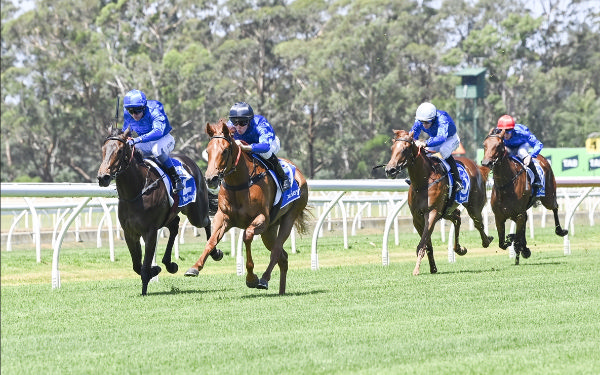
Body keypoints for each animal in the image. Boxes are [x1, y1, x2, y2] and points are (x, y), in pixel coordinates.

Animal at [98, 128, 223, 296]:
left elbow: (145, 265)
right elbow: (136, 265)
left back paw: (215, 253)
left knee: (207, 222)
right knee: (175, 225)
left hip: (196, 213)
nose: (102, 177)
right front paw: (155, 269)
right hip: (170, 215)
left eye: (119, 151)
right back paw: (169, 264)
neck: (136, 192)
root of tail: (191, 163)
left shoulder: (150, 231)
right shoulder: (130, 232)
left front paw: (147, 283)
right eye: (103, 149)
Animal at [185, 119, 312, 296]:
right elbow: (211, 241)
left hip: (289, 217)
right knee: (283, 257)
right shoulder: (223, 217)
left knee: (277, 251)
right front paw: (195, 267)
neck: (239, 184)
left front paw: (251, 278)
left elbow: (247, 236)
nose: (211, 179)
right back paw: (281, 291)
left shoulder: (261, 219)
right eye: (208, 151)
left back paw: (264, 279)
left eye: (225, 150)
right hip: (270, 230)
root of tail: (298, 171)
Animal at [386, 130, 494, 276]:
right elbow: (427, 244)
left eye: (405, 149)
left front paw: (416, 269)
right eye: (392, 148)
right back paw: (459, 249)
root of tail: (477, 168)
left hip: (474, 206)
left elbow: (422, 244)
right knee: (457, 217)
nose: (390, 170)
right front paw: (433, 268)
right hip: (446, 210)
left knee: (479, 224)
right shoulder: (417, 218)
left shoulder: (431, 213)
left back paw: (486, 241)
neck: (423, 182)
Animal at [478, 128, 568, 266]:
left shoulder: (519, 214)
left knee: (555, 207)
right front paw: (519, 246)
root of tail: (542, 158)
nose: (486, 162)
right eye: (484, 145)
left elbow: (516, 237)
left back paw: (560, 231)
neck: (506, 185)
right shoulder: (499, 216)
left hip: (548, 197)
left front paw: (518, 246)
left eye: (498, 145)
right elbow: (502, 243)